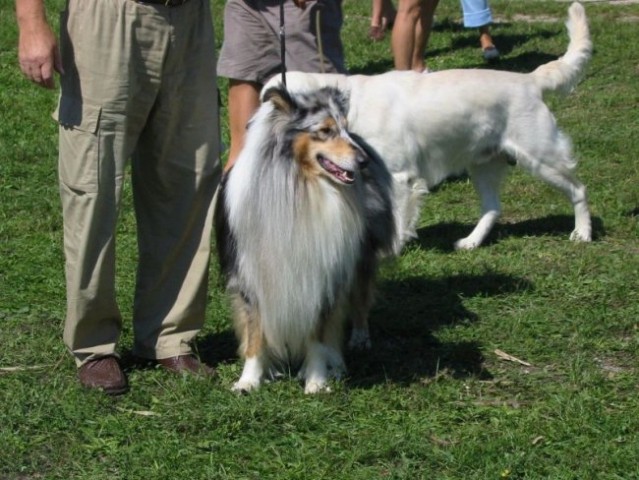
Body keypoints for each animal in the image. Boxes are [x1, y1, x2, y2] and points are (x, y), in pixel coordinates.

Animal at [264, 1, 596, 253]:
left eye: (271, 107)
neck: (351, 110)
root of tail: (529, 79)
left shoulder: (400, 177)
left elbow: (398, 219)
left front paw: (390, 250)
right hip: (483, 164)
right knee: (493, 208)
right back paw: (470, 242)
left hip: (542, 157)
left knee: (579, 190)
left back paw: (582, 233)